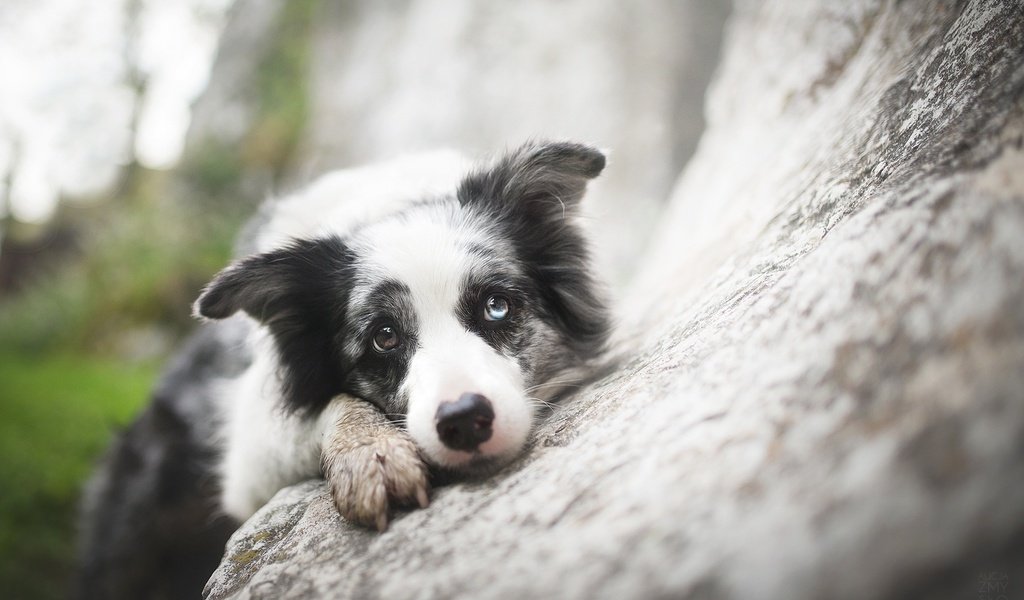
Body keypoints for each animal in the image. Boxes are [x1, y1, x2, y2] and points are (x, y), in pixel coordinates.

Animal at [79, 140, 610, 593]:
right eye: (384, 336)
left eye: (497, 307)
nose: (463, 421)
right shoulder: (248, 455)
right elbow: (334, 401)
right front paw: (371, 454)